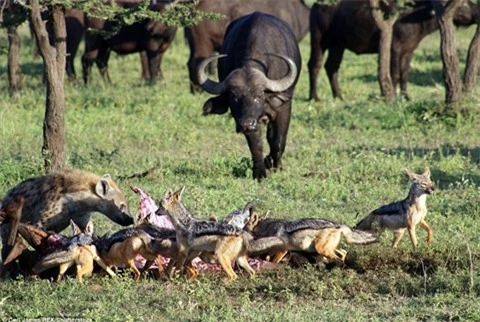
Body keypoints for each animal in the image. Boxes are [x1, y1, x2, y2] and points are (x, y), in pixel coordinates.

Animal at [197, 12, 302, 181]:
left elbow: (278, 140)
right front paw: (260, 171)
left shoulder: (283, 108)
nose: (246, 124)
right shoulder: (245, 118)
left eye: (259, 95)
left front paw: (274, 164)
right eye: (233, 97)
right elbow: (256, 144)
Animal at [310, 0, 478, 100]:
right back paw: (314, 97)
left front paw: (406, 96)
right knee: (314, 65)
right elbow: (395, 75)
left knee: (331, 67)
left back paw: (338, 96)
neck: (415, 14)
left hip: (338, 45)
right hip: (319, 39)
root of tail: (317, 5)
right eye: (464, 4)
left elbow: (405, 75)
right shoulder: (395, 49)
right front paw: (395, 97)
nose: (477, 14)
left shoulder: (408, 51)